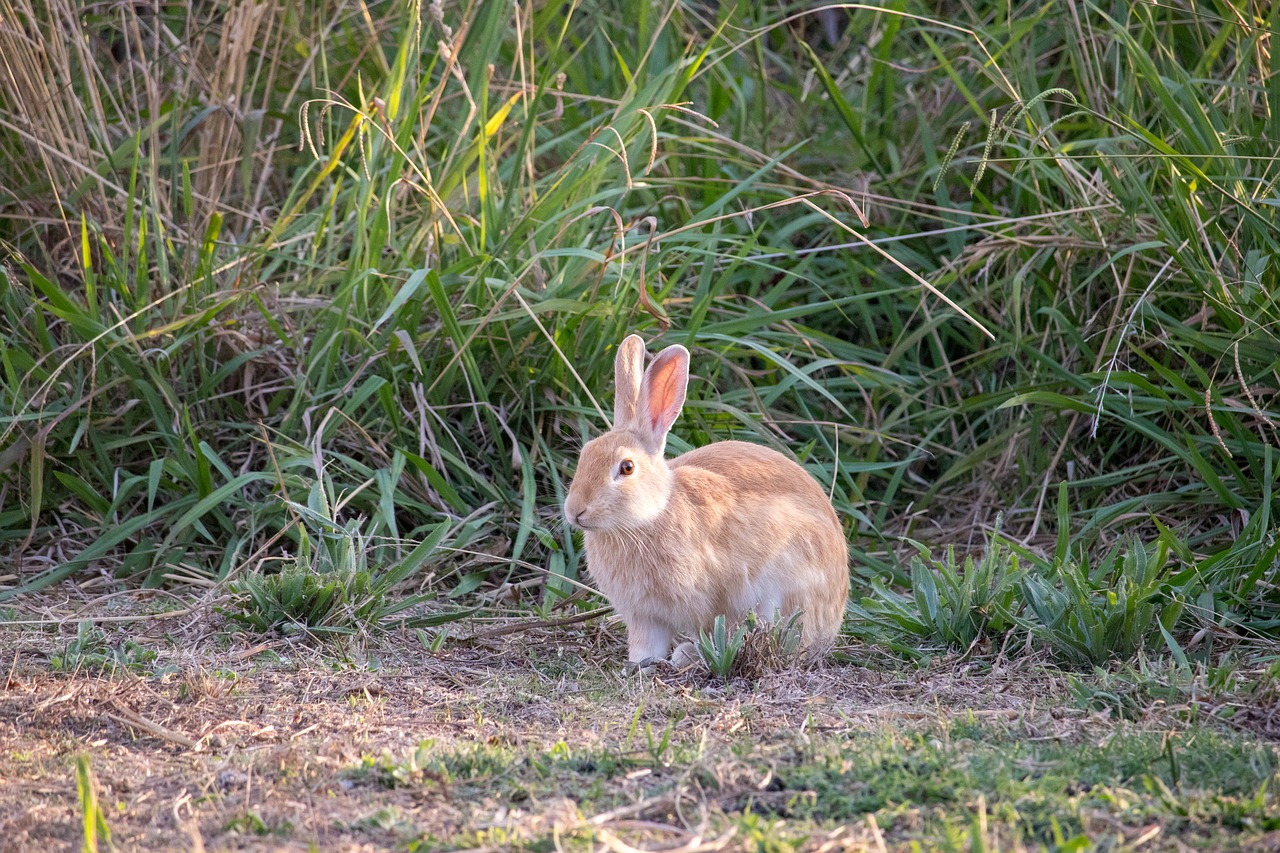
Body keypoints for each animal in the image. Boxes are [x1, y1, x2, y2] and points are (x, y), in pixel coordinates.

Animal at [563, 333, 849, 666]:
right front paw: (639, 664)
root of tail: (836, 613)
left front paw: (685, 657)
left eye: (627, 467)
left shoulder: (709, 603)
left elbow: (711, 632)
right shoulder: (645, 616)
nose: (576, 511)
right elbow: (647, 645)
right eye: (585, 454)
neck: (649, 517)